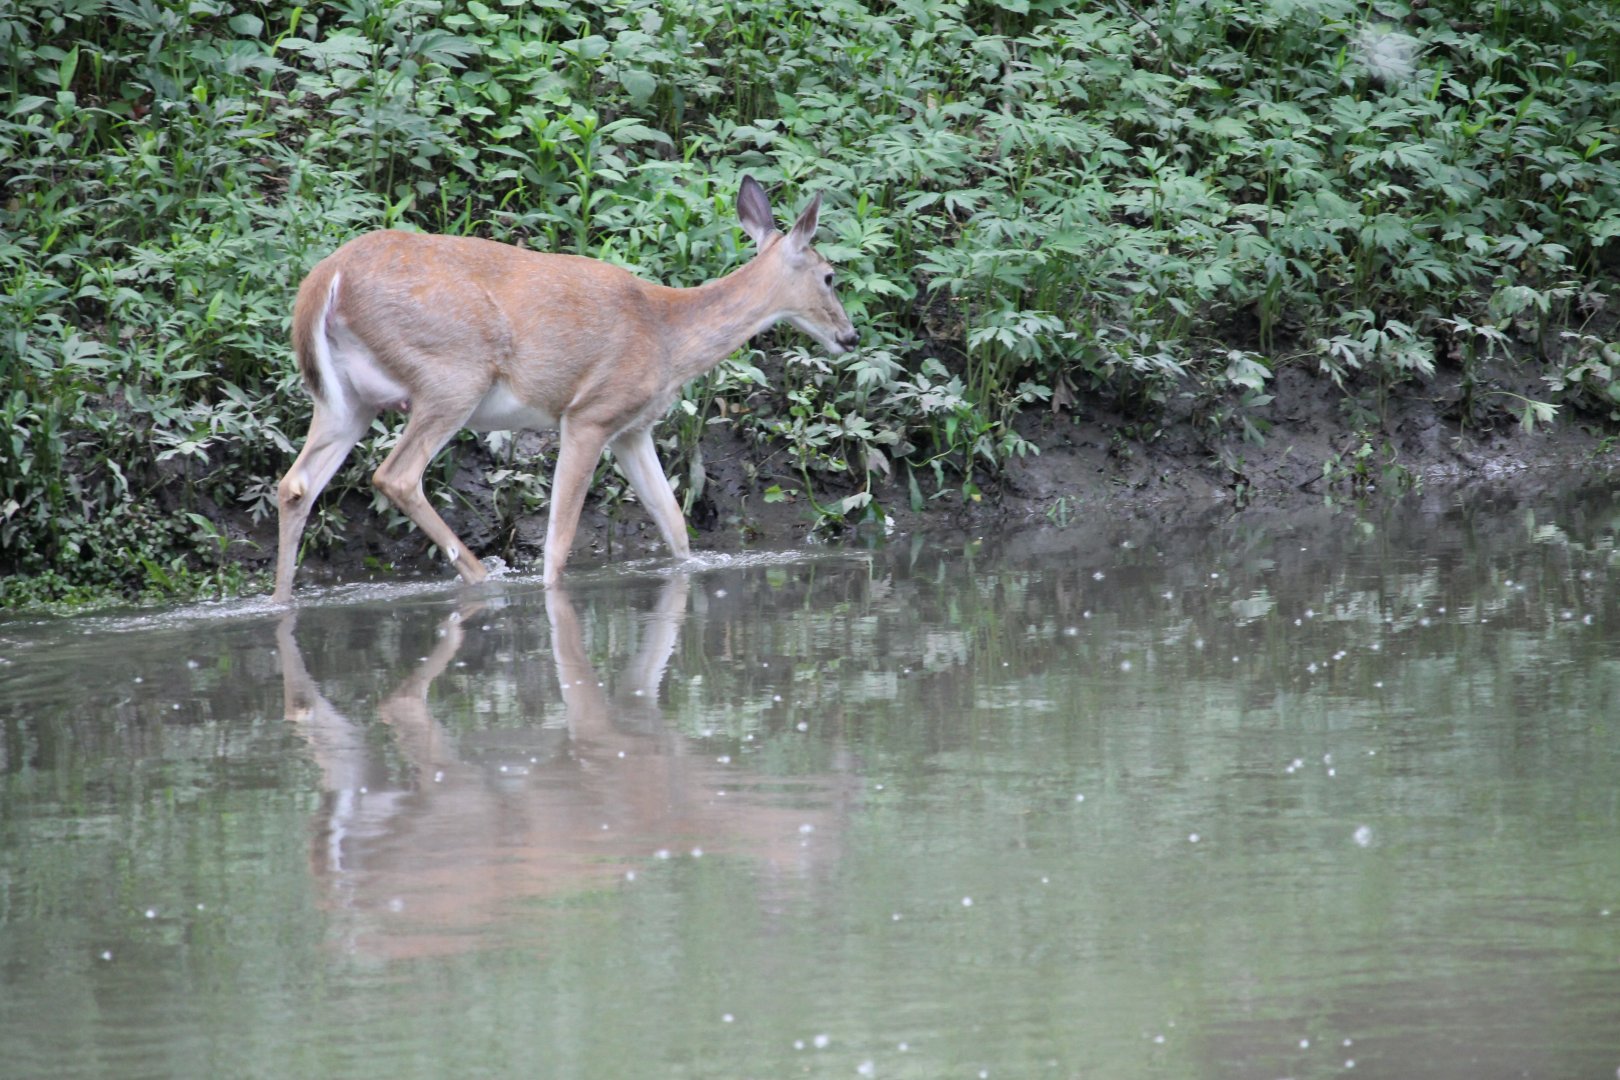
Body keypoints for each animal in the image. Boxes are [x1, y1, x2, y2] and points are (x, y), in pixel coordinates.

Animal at [271, 176, 858, 602]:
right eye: (831, 277)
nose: (849, 336)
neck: (667, 335)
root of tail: (325, 280)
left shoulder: (632, 429)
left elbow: (675, 526)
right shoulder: (590, 413)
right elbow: (559, 540)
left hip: (349, 400)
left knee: (296, 484)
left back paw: (281, 602)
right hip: (451, 374)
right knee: (395, 475)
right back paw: (482, 578)